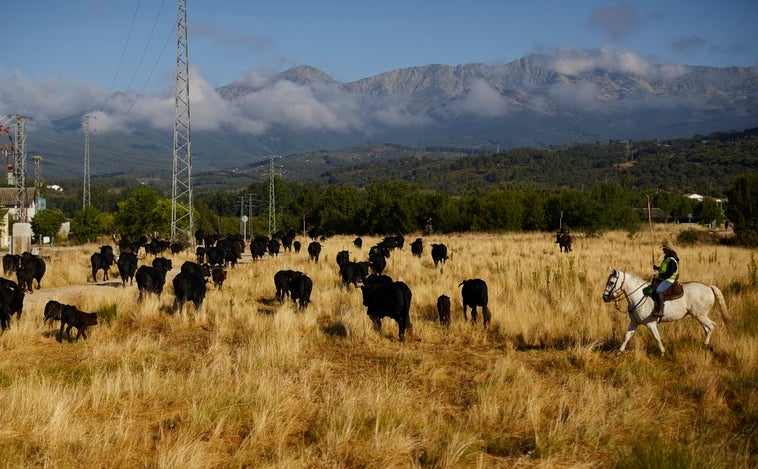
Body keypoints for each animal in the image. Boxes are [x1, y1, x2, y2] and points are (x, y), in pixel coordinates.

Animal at [604, 266, 732, 354]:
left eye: (611, 282)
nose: (604, 297)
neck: (639, 295)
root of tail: (709, 287)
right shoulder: (634, 322)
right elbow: (627, 336)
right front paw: (619, 352)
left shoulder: (650, 323)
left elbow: (657, 337)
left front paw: (662, 352)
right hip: (699, 316)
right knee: (707, 328)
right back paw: (707, 345)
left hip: (700, 315)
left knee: (711, 326)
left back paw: (706, 343)